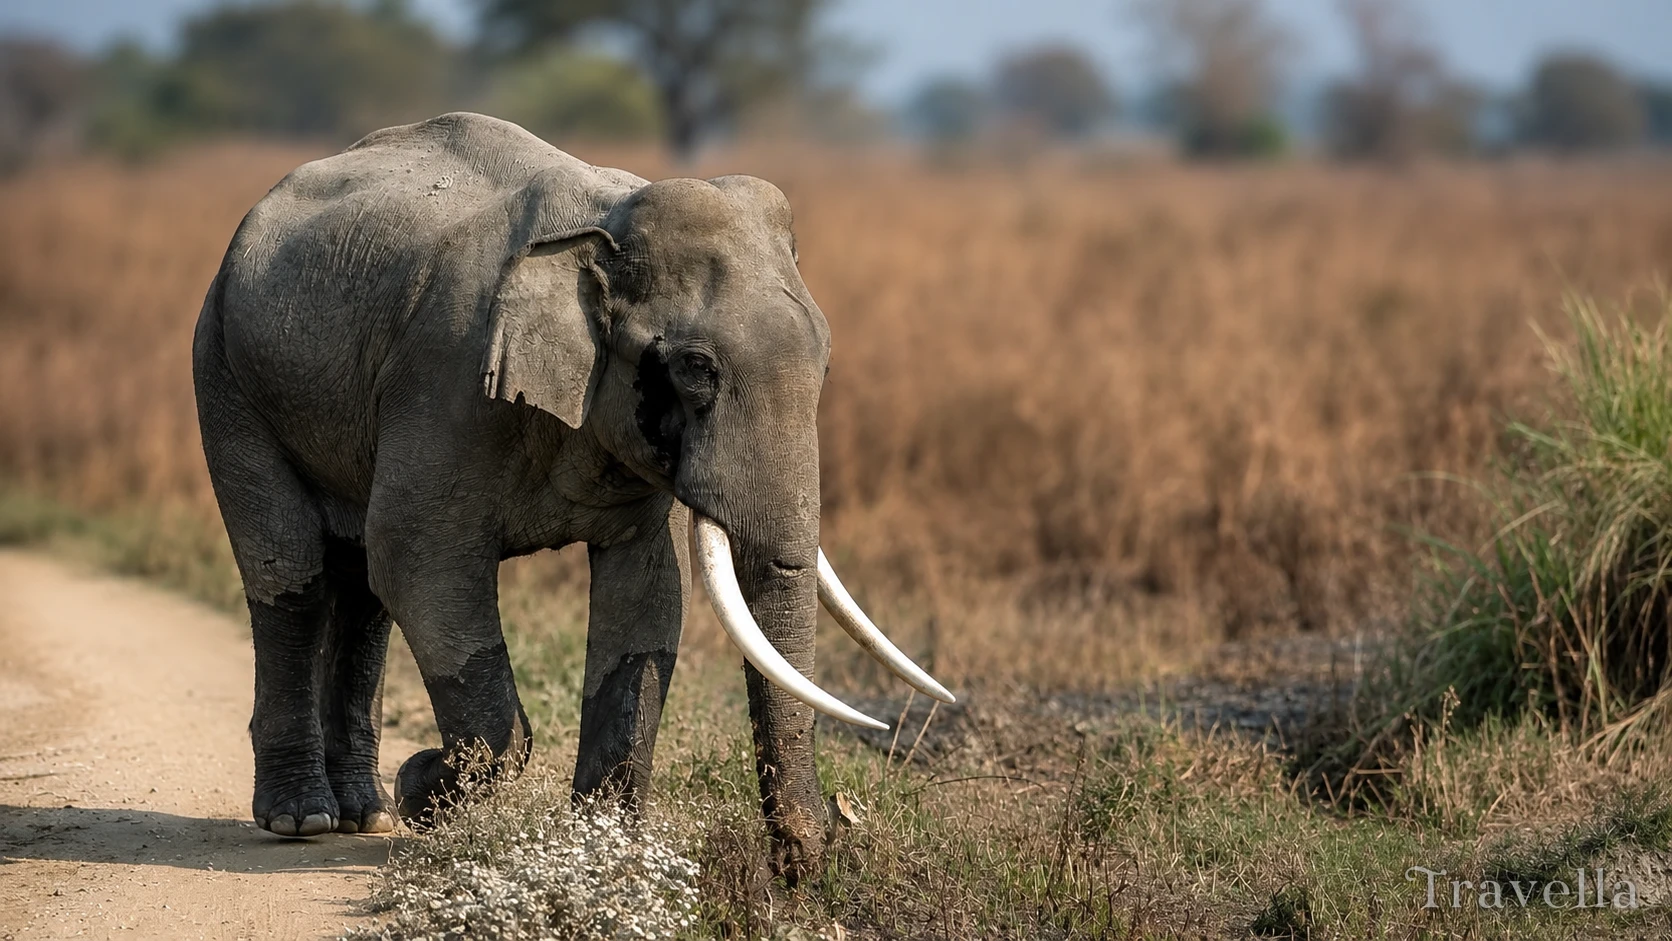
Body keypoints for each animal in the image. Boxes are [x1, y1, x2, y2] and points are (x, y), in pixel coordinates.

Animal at [191, 112, 952, 882]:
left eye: (826, 361)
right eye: (696, 369)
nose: (799, 868)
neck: (603, 226)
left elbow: (646, 595)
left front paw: (601, 853)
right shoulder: (448, 378)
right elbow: (417, 561)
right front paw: (423, 789)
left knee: (361, 588)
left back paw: (364, 813)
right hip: (225, 369)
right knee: (292, 570)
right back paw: (305, 817)